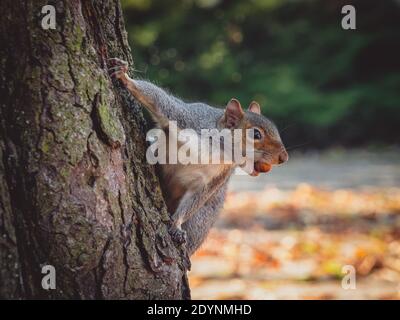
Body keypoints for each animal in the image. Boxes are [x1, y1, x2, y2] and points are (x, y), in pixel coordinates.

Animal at [107, 57, 288, 256]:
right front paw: (125, 77)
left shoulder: (215, 178)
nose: (284, 157)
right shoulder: (186, 119)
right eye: (256, 134)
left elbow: (195, 200)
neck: (217, 150)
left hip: (202, 220)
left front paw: (176, 225)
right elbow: (160, 100)